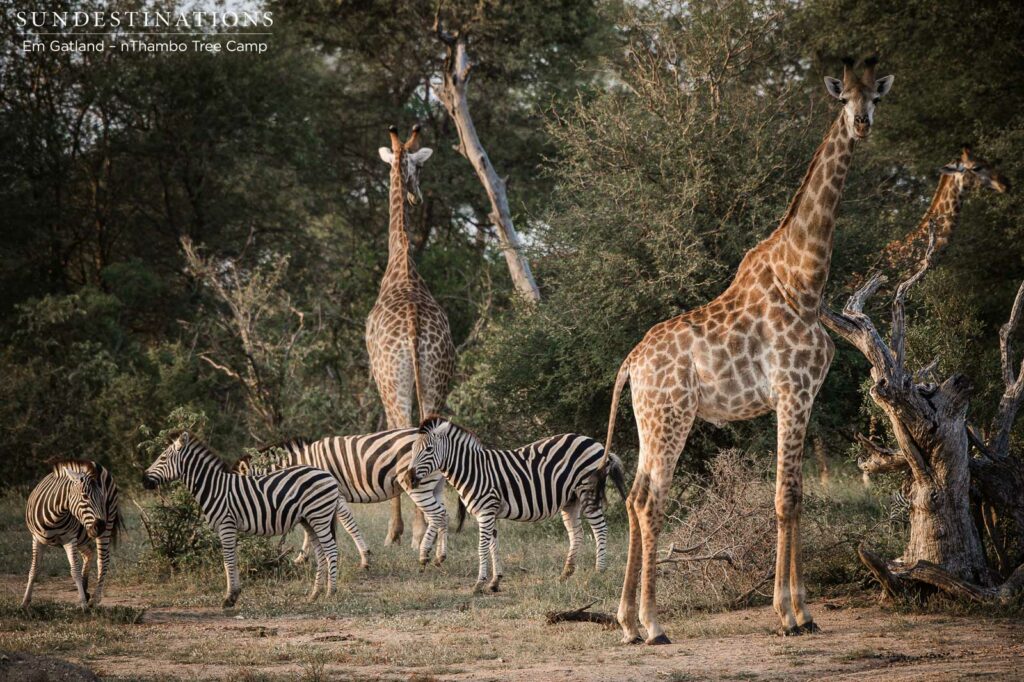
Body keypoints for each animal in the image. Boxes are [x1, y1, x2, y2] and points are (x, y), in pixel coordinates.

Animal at [22, 459, 122, 610]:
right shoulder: (36, 538)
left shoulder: (70, 539)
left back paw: (94, 599)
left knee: (103, 560)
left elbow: (75, 571)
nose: (100, 527)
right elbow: (34, 569)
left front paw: (83, 605)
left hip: (104, 524)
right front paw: (25, 603)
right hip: (83, 534)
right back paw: (86, 591)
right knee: (89, 553)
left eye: (102, 498)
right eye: (84, 496)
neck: (54, 517)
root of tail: (94, 463)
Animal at [142, 431, 343, 607]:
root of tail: (328, 474)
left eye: (162, 458)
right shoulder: (228, 527)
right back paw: (314, 594)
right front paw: (234, 595)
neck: (214, 488)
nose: (143, 480)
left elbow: (228, 561)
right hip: (309, 520)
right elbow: (233, 560)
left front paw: (229, 598)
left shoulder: (226, 525)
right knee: (321, 554)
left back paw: (330, 593)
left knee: (331, 551)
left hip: (319, 516)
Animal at [233, 429, 457, 569]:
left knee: (436, 515)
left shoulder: (334, 495)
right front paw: (303, 558)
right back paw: (440, 556)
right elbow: (314, 532)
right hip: (434, 486)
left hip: (418, 485)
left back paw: (425, 555)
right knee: (444, 515)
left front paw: (364, 558)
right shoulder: (314, 500)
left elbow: (348, 525)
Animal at [408, 417, 627, 594]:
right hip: (571, 500)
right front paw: (495, 582)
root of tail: (595, 443)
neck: (473, 470)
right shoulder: (491, 512)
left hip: (587, 490)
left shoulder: (486, 511)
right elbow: (493, 545)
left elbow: (482, 547)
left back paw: (599, 571)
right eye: (412, 450)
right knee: (577, 534)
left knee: (600, 529)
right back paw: (566, 573)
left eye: (428, 450)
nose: (409, 479)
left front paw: (479, 584)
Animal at [604, 57, 894, 644]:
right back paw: (653, 624)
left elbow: (799, 496)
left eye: (875, 96)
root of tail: (630, 364)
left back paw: (625, 622)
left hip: (648, 420)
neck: (805, 279)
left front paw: (805, 613)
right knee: (651, 500)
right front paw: (786, 615)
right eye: (842, 98)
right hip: (672, 417)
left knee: (633, 495)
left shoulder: (803, 396)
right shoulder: (791, 391)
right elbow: (783, 498)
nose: (861, 124)